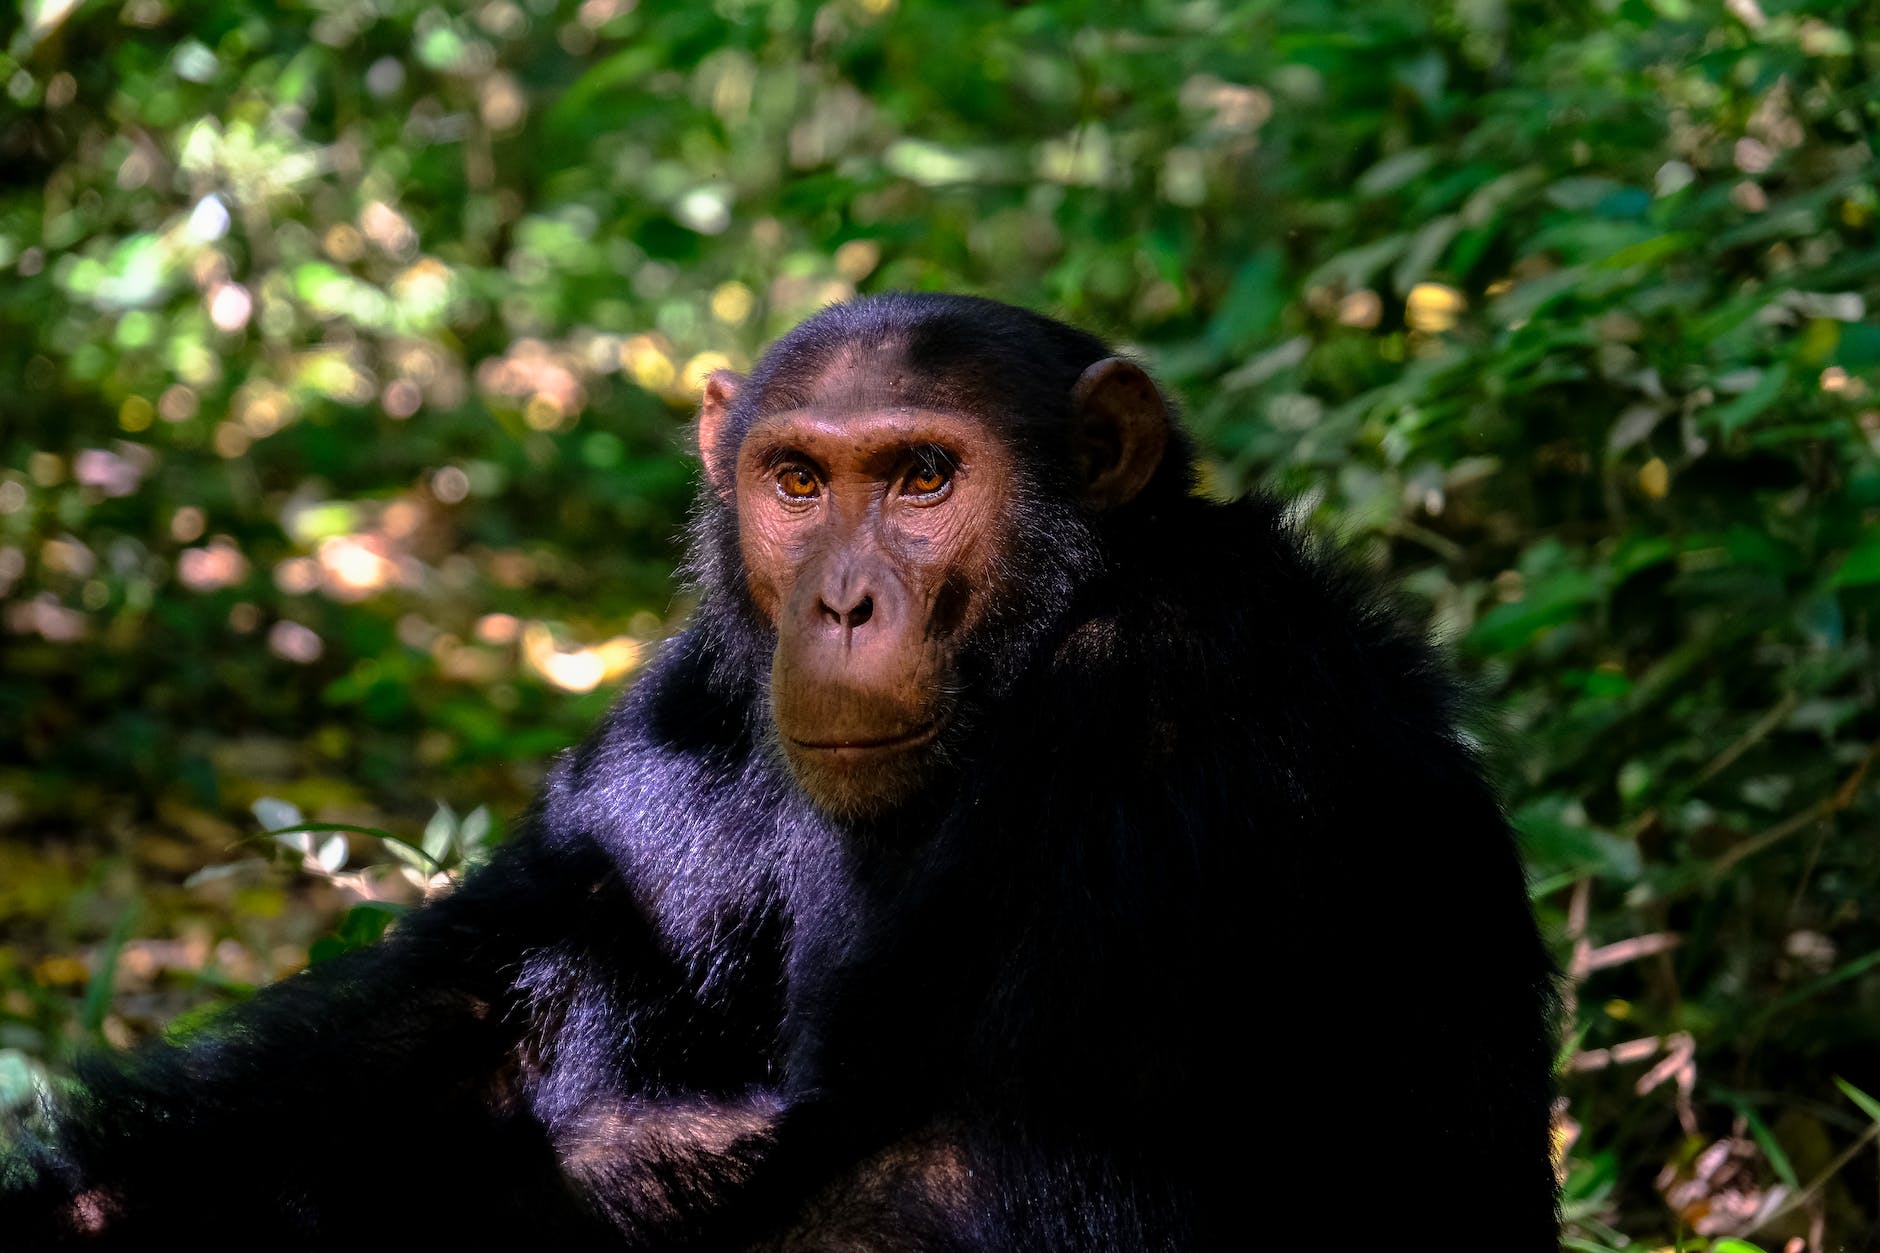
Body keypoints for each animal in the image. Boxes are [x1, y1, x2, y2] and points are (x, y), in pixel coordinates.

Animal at [0, 295, 1556, 1249]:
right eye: (799, 481)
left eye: (924, 477)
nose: (843, 603)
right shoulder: (689, 707)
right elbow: (463, 1027)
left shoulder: (1168, 696)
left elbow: (952, 1157)